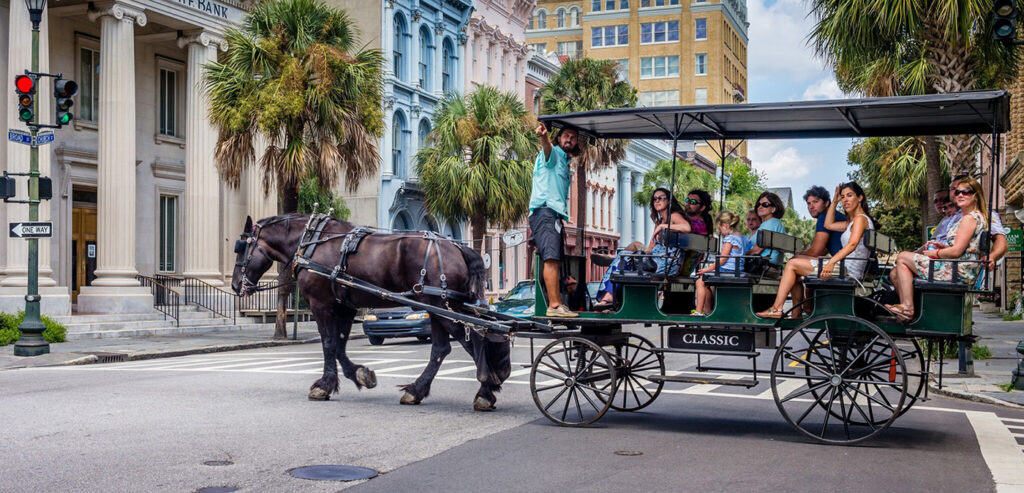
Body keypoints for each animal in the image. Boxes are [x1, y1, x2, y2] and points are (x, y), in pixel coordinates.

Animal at [235, 213, 516, 409]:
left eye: (240, 247)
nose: (236, 284)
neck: (312, 242)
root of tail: (457, 247)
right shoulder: (345, 306)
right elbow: (339, 346)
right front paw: (361, 375)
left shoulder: (321, 304)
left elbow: (328, 344)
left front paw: (324, 386)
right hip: (441, 307)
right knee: (441, 349)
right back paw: (416, 390)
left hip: (439, 307)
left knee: (473, 338)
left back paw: (485, 391)